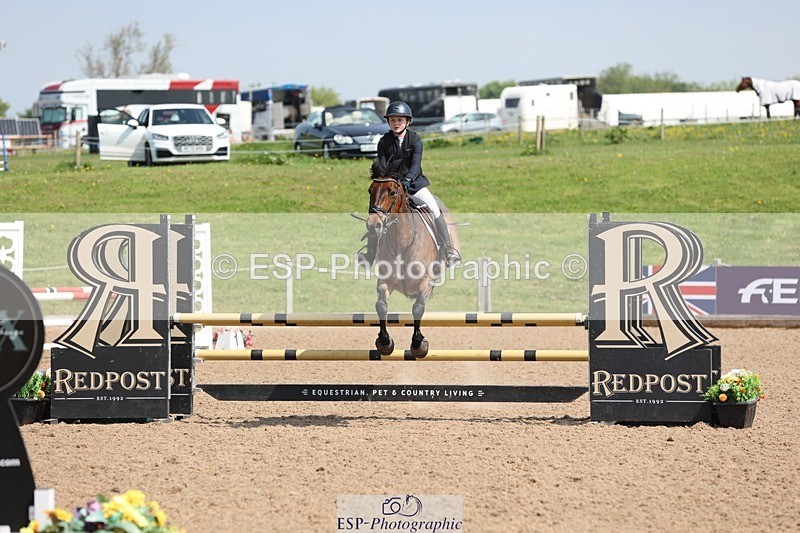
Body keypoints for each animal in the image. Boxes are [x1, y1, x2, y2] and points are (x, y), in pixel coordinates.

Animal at [366, 156, 460, 358]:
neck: (402, 242)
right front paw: (384, 342)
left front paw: (418, 344)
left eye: (393, 192)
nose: (373, 225)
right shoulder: (385, 281)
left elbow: (418, 308)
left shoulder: (425, 281)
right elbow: (381, 305)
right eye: (370, 190)